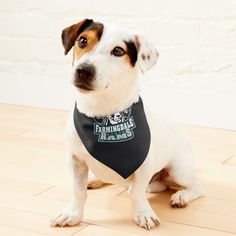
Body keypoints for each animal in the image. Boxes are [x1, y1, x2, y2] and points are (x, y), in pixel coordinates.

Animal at [50, 18, 204, 230]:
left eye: (118, 51)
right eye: (82, 40)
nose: (83, 70)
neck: (101, 112)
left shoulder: (143, 165)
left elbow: (136, 193)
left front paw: (143, 214)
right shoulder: (75, 159)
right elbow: (78, 191)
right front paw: (72, 214)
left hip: (179, 170)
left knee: (196, 187)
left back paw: (181, 196)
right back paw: (95, 180)